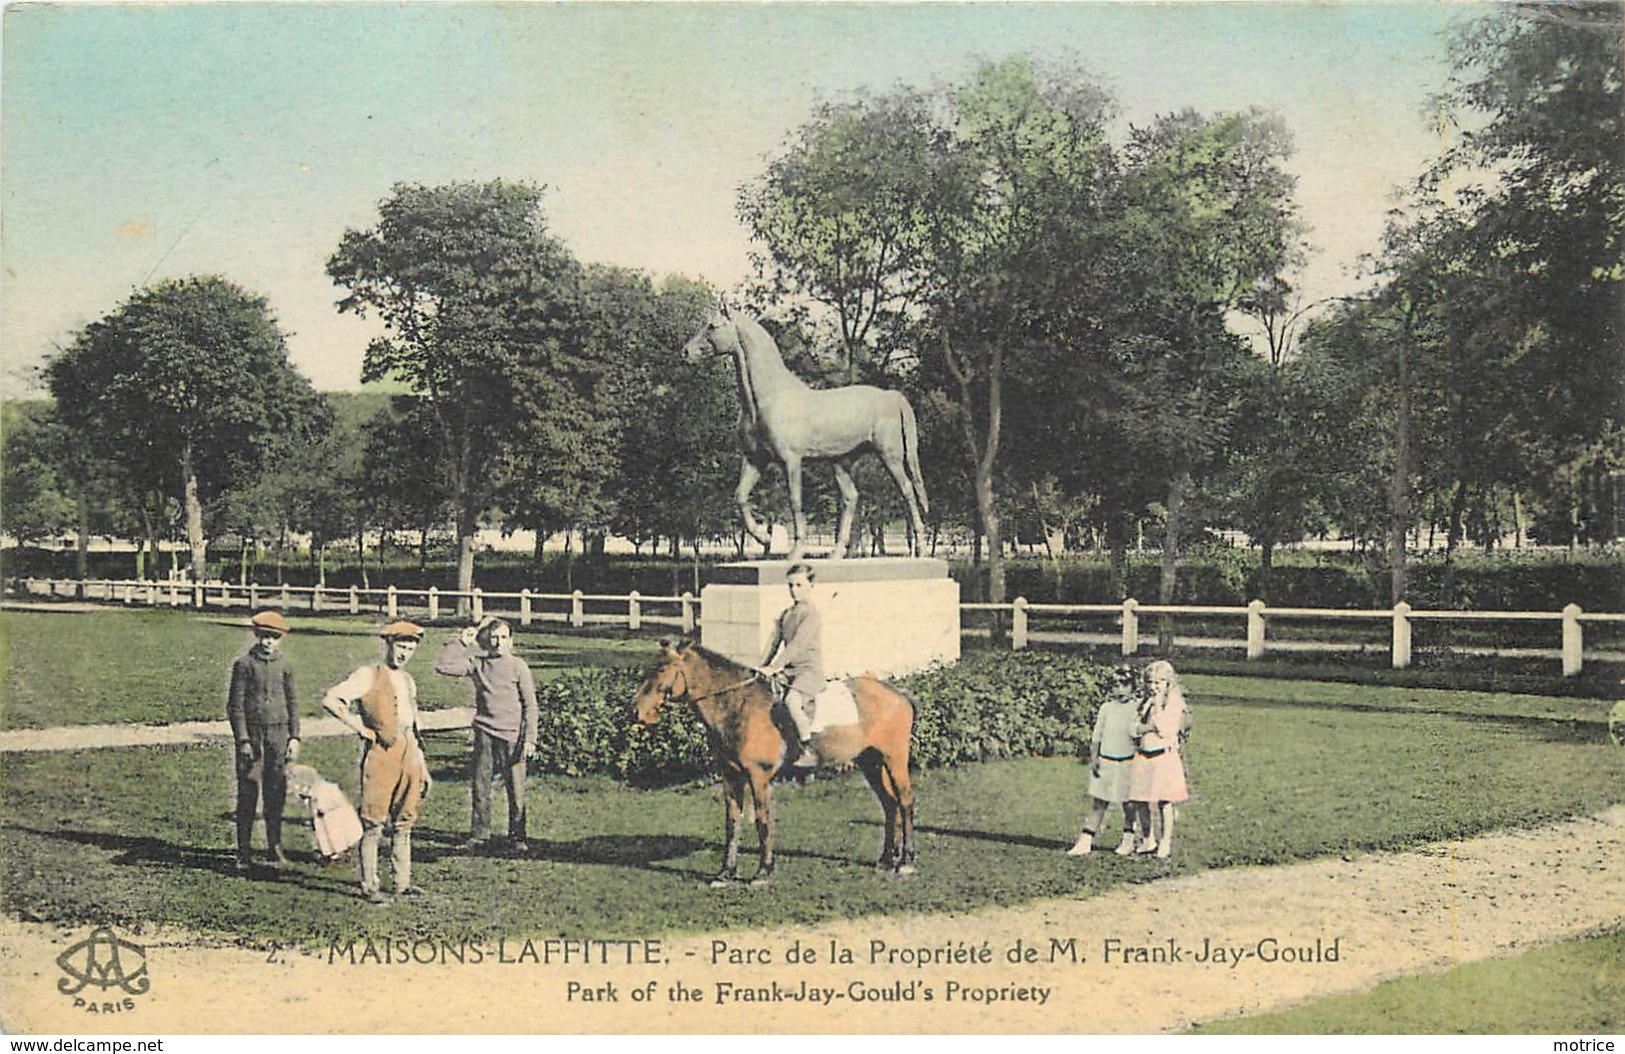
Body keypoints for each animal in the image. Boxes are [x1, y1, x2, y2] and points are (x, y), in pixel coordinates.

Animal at [630, 636, 916, 883]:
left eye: (662, 668)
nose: (636, 710)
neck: (739, 704)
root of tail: (898, 694)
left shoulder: (758, 776)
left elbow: (762, 820)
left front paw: (763, 872)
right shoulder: (730, 776)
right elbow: (732, 822)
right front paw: (726, 873)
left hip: (894, 759)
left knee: (904, 802)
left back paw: (906, 862)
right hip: (871, 762)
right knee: (889, 804)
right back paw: (886, 860)